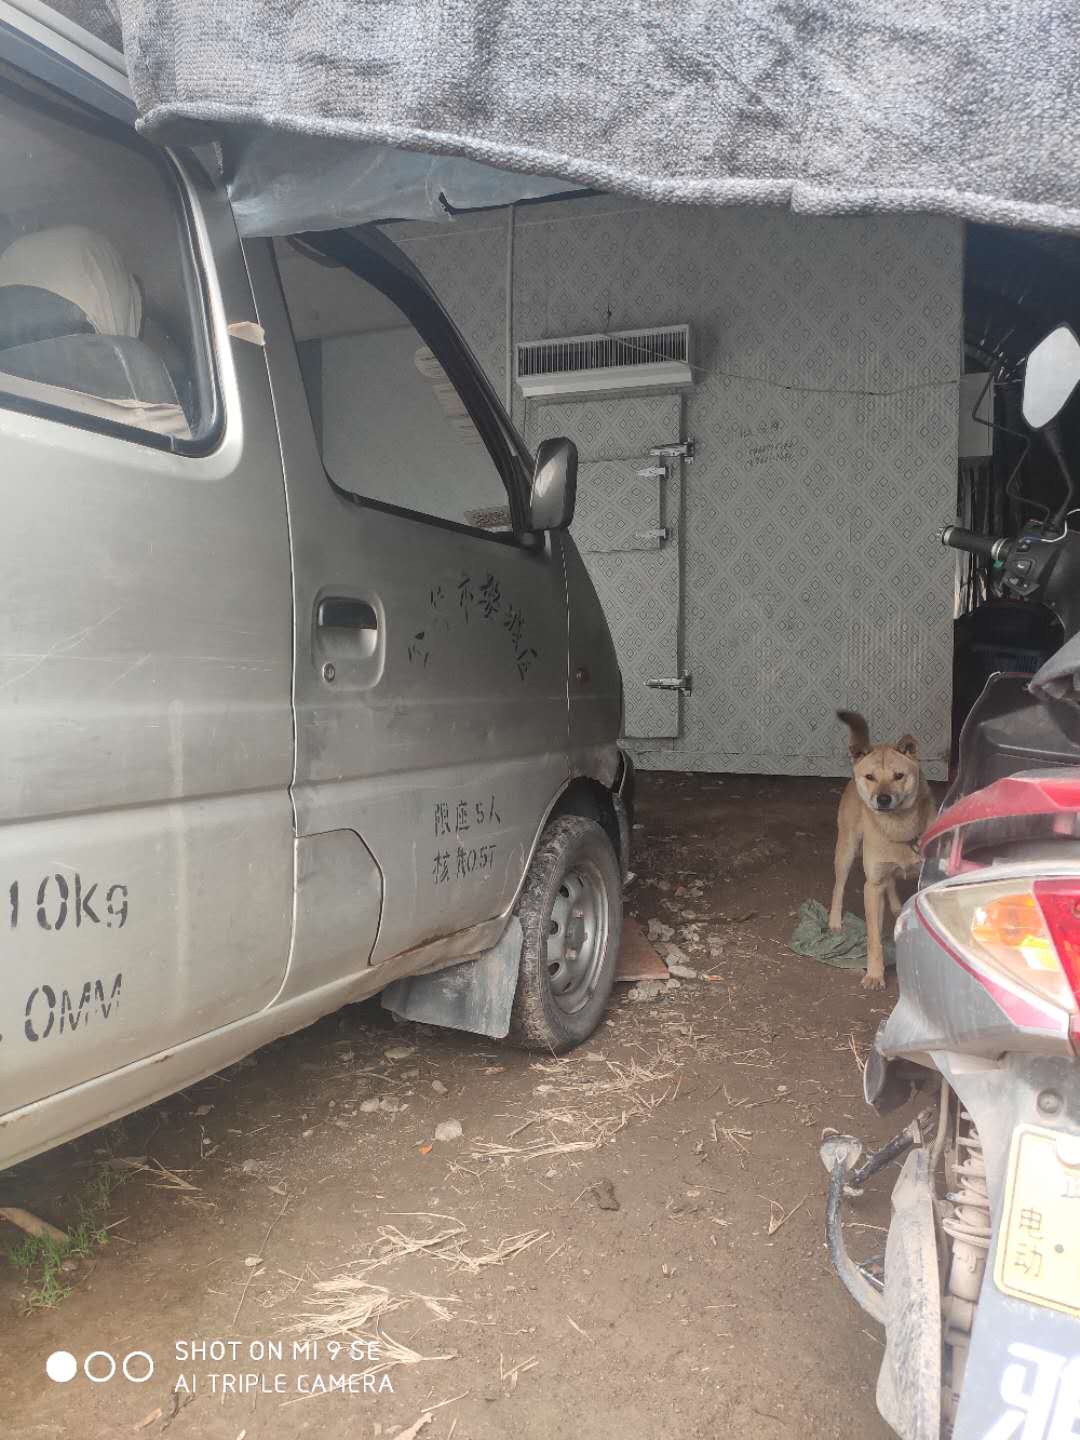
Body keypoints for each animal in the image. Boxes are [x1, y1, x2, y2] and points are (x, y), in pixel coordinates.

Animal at [835, 711, 933, 990]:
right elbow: (874, 938)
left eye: (899, 775)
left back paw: (897, 906)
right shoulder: (872, 885)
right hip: (846, 850)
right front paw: (875, 974)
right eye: (871, 777)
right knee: (839, 885)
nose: (883, 799)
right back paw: (834, 922)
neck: (899, 830)